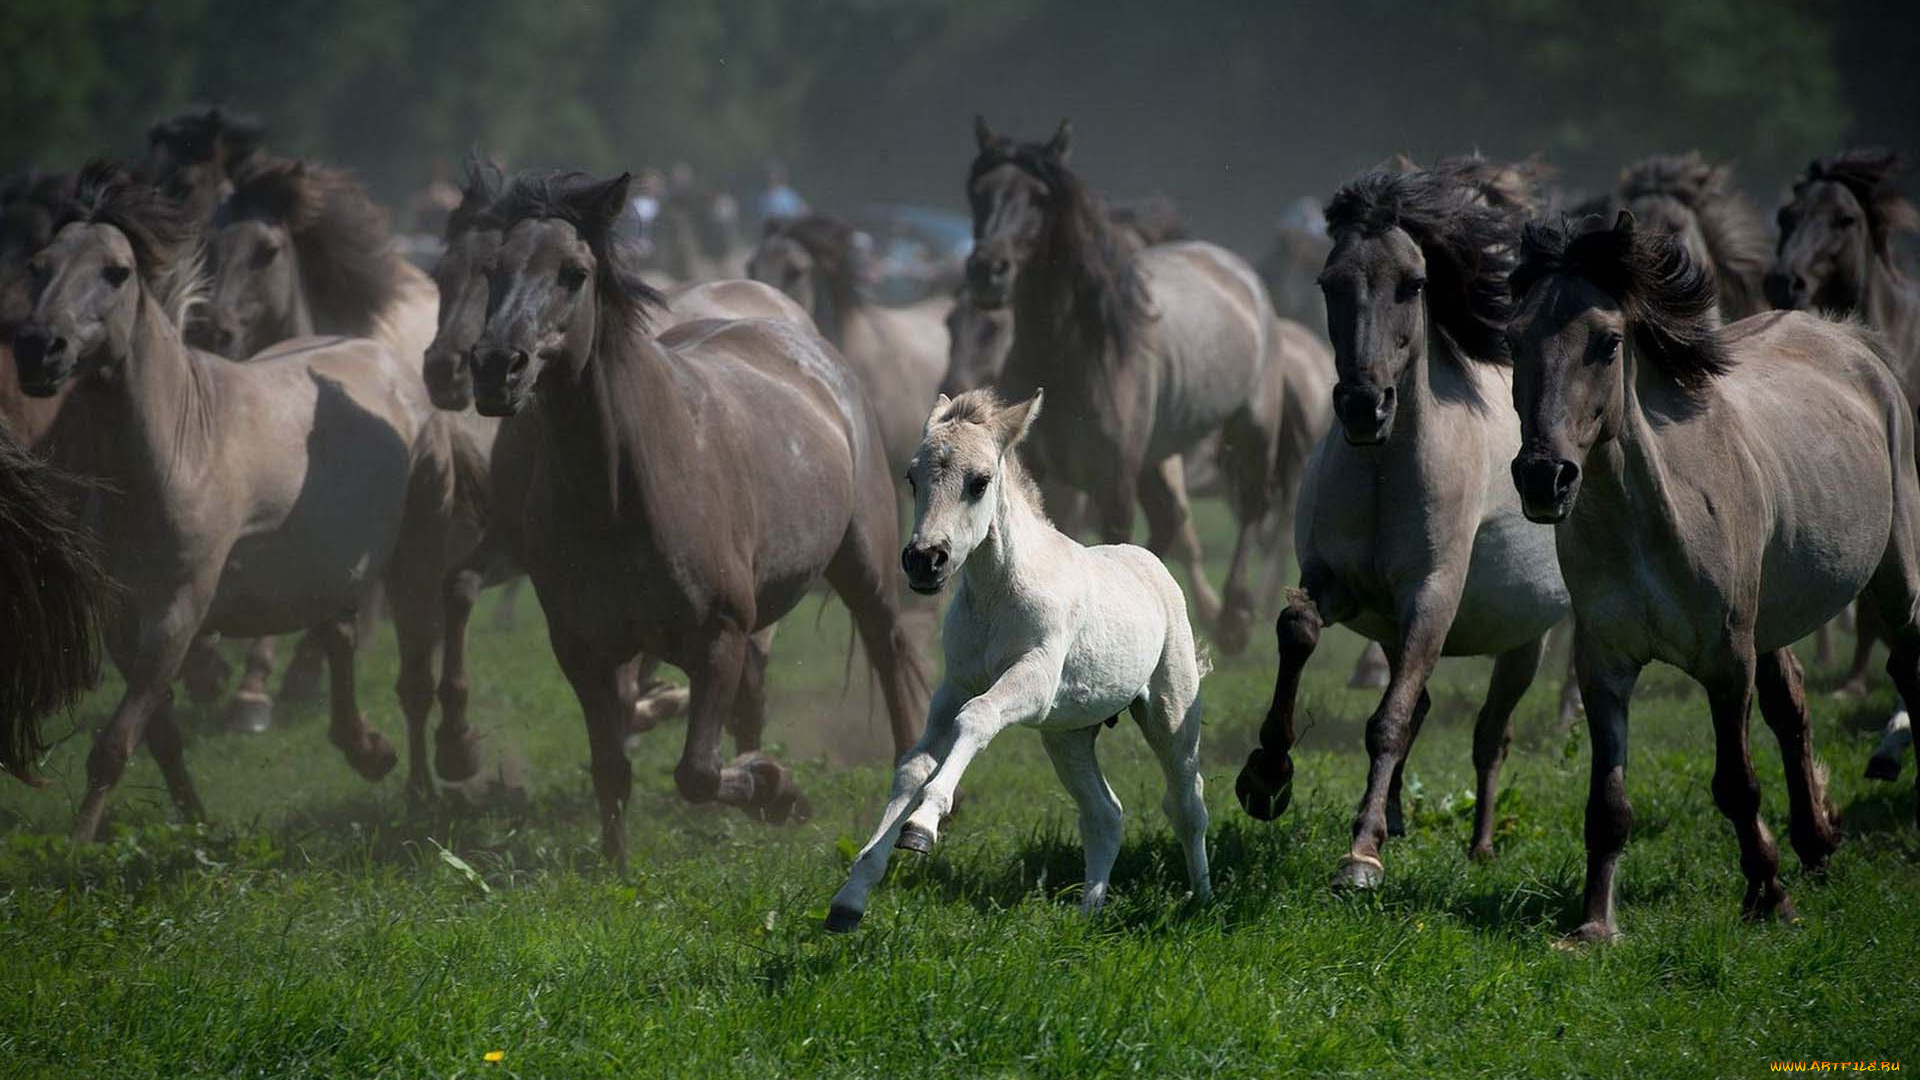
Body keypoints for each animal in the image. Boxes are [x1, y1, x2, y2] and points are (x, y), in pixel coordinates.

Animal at [456, 170, 921, 857]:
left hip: (866, 567)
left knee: (888, 655)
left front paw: (778, 789)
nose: (495, 367)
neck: (622, 492)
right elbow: (611, 766)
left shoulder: (717, 638)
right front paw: (615, 863)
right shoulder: (583, 651)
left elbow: (697, 772)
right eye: (493, 269)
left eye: (574, 273)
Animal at [821, 390, 1205, 930]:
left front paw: (922, 827)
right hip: (1067, 736)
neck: (997, 597)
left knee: (1188, 803)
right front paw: (851, 897)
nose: (924, 561)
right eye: (912, 478)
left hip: (1170, 713)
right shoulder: (954, 687)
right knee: (1105, 814)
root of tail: (1151, 565)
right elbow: (915, 764)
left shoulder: (1033, 679)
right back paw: (1089, 915)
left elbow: (977, 718)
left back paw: (1204, 901)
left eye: (979, 481)